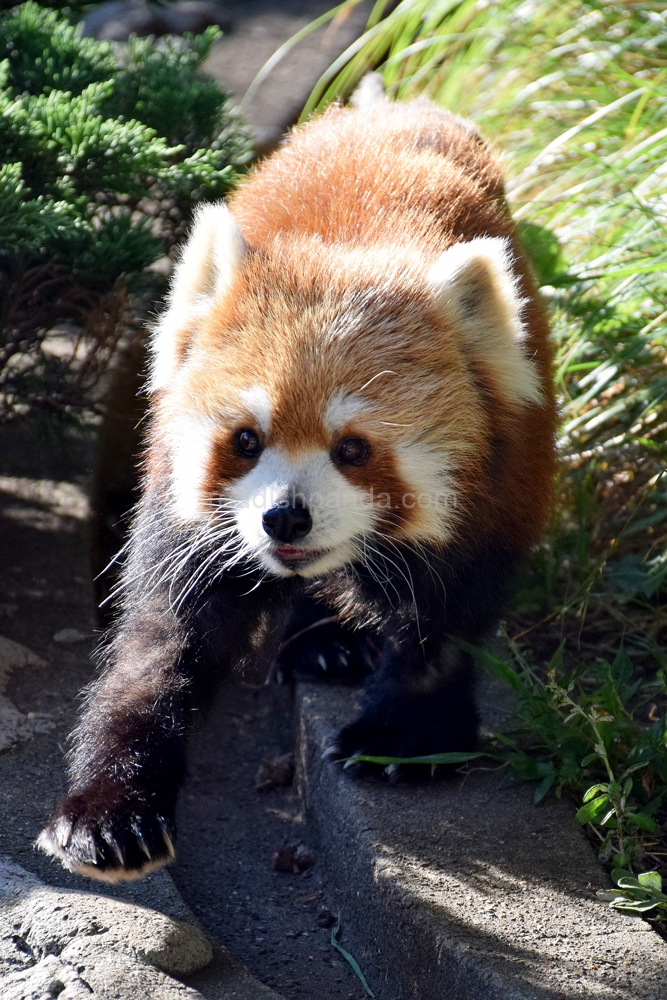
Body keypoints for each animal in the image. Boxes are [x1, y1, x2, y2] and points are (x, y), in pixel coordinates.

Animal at [37, 97, 560, 880]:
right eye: (245, 440)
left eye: (353, 450)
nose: (285, 519)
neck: (360, 240)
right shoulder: (186, 514)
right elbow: (160, 643)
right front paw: (110, 810)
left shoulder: (503, 481)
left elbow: (444, 617)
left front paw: (407, 735)